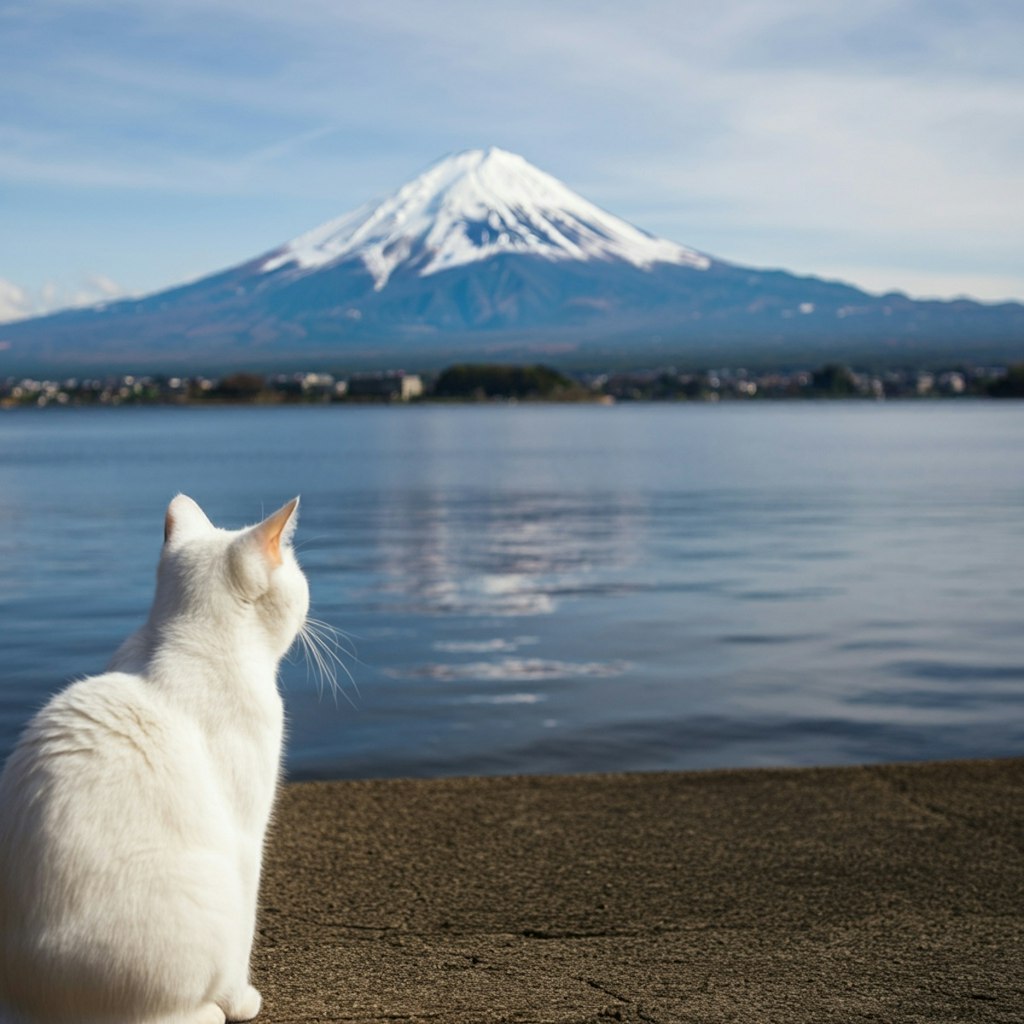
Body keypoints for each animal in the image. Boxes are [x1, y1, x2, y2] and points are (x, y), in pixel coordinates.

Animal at [0, 491, 307, 1019]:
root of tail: (22, 1002)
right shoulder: (246, 838)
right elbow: (244, 936)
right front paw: (242, 1001)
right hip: (208, 890)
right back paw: (208, 1011)